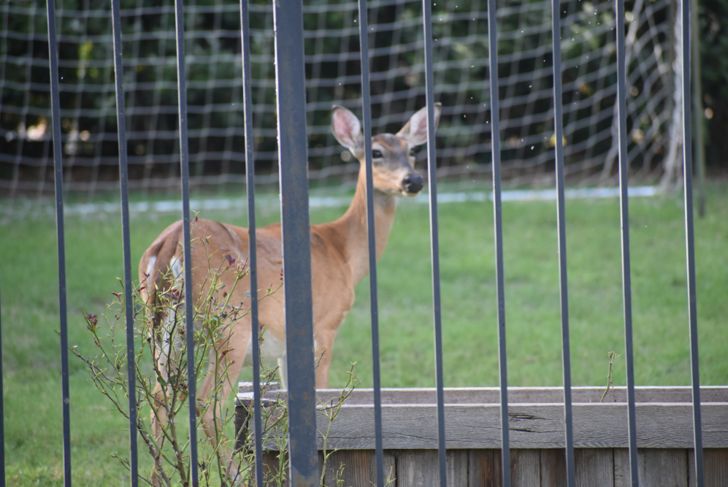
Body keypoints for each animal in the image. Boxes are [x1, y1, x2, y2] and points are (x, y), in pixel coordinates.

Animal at [138, 103, 441, 483]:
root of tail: (170, 243)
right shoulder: (324, 324)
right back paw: (236, 476)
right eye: (375, 152)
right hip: (229, 326)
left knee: (158, 398)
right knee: (207, 402)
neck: (342, 252)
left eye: (412, 150)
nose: (412, 181)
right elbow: (322, 395)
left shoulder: (284, 346)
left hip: (164, 327)